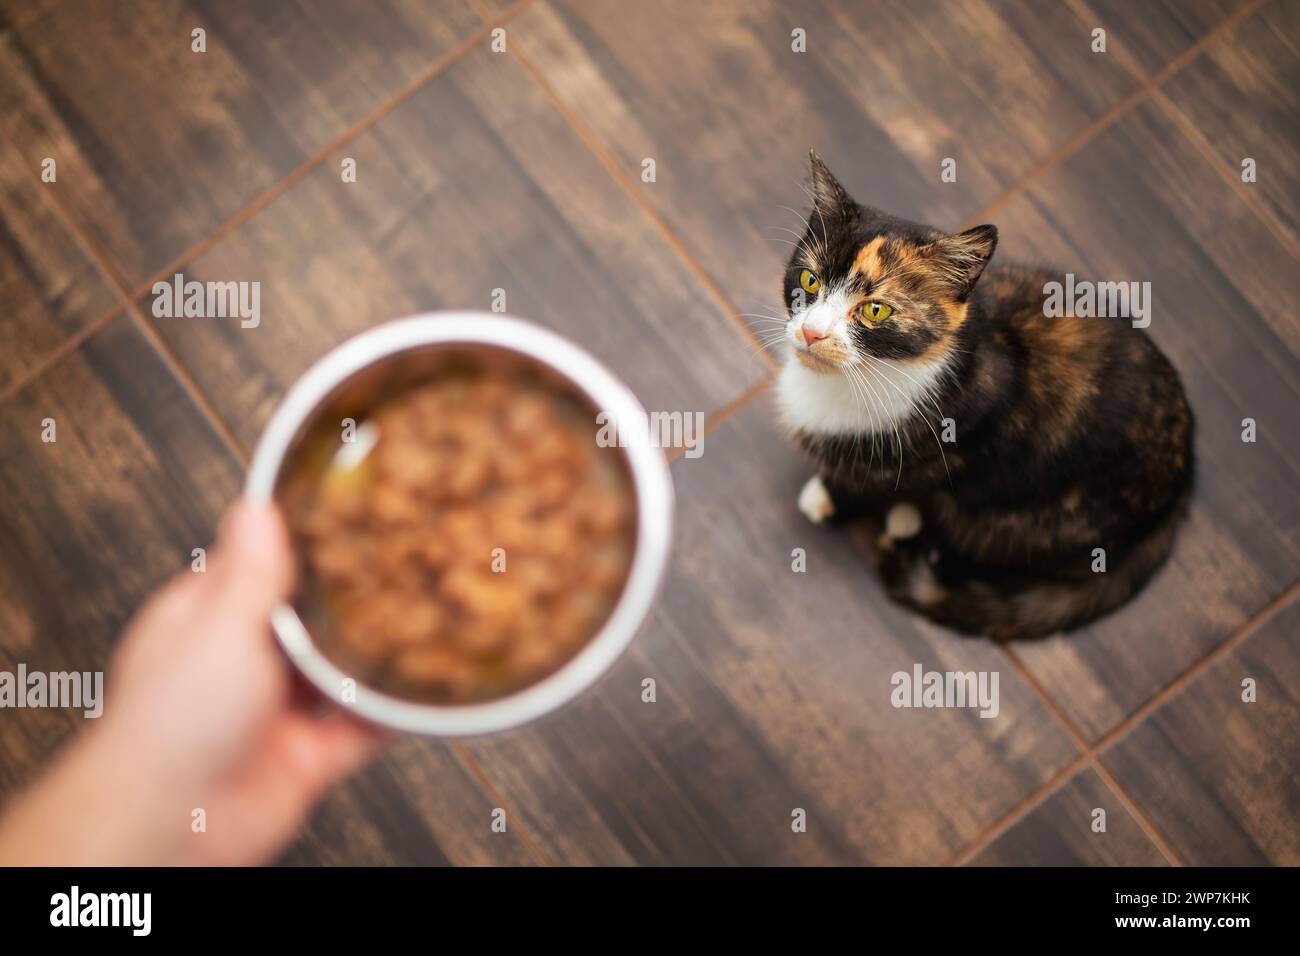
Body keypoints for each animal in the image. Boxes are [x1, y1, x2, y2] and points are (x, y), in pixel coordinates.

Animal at [774, 151, 1190, 642]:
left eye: (875, 310)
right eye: (809, 280)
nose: (811, 332)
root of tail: (1183, 480)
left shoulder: (946, 447)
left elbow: (875, 478)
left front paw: (828, 496)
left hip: (1035, 519)